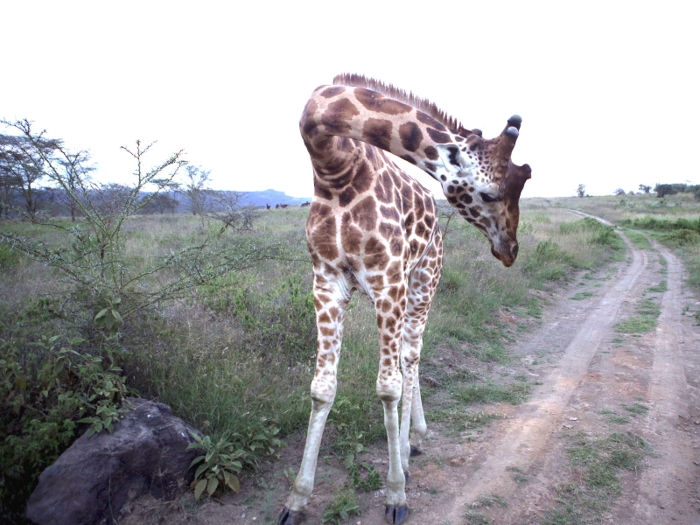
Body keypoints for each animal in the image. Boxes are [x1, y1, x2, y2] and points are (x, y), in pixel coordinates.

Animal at [278, 73, 532, 524]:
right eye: (489, 194)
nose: (509, 249)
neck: (333, 165)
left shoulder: (387, 280)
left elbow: (388, 387)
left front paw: (396, 494)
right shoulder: (326, 281)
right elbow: (322, 388)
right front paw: (297, 498)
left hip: (422, 283)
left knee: (411, 355)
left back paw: (412, 446)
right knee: (404, 357)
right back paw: (413, 439)